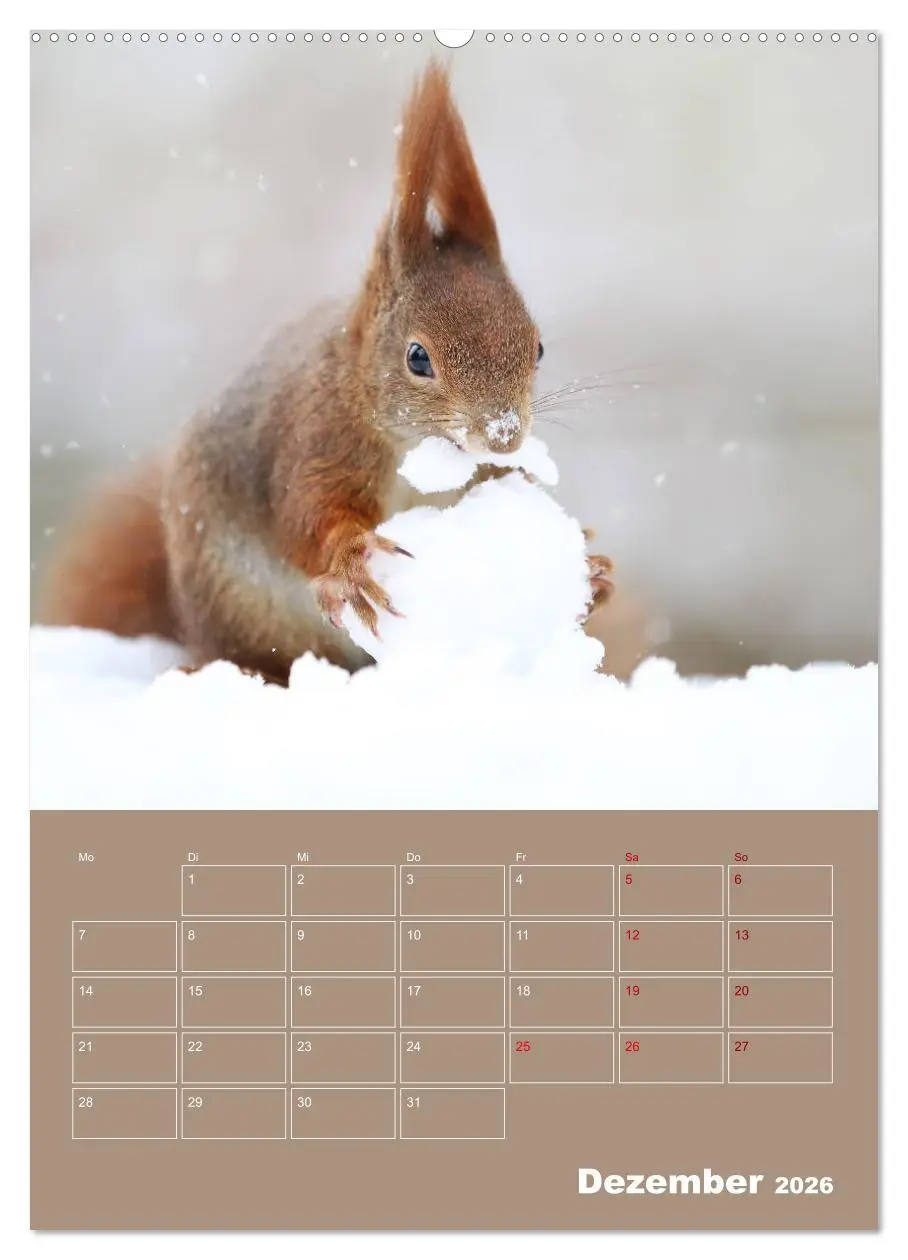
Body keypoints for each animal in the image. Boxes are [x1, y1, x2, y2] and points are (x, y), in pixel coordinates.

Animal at [40, 61, 616, 686]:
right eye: (418, 358)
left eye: (538, 348)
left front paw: (592, 571)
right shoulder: (315, 440)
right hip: (244, 612)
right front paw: (349, 563)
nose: (504, 436)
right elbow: (309, 516)